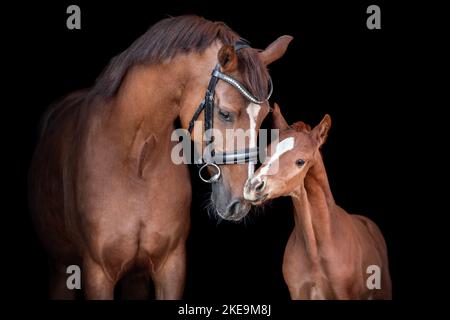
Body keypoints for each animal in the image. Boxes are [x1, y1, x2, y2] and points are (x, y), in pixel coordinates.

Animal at [29, 16, 296, 298]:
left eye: (265, 115)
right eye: (225, 113)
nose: (241, 201)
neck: (136, 163)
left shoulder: (170, 266)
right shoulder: (98, 273)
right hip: (61, 268)